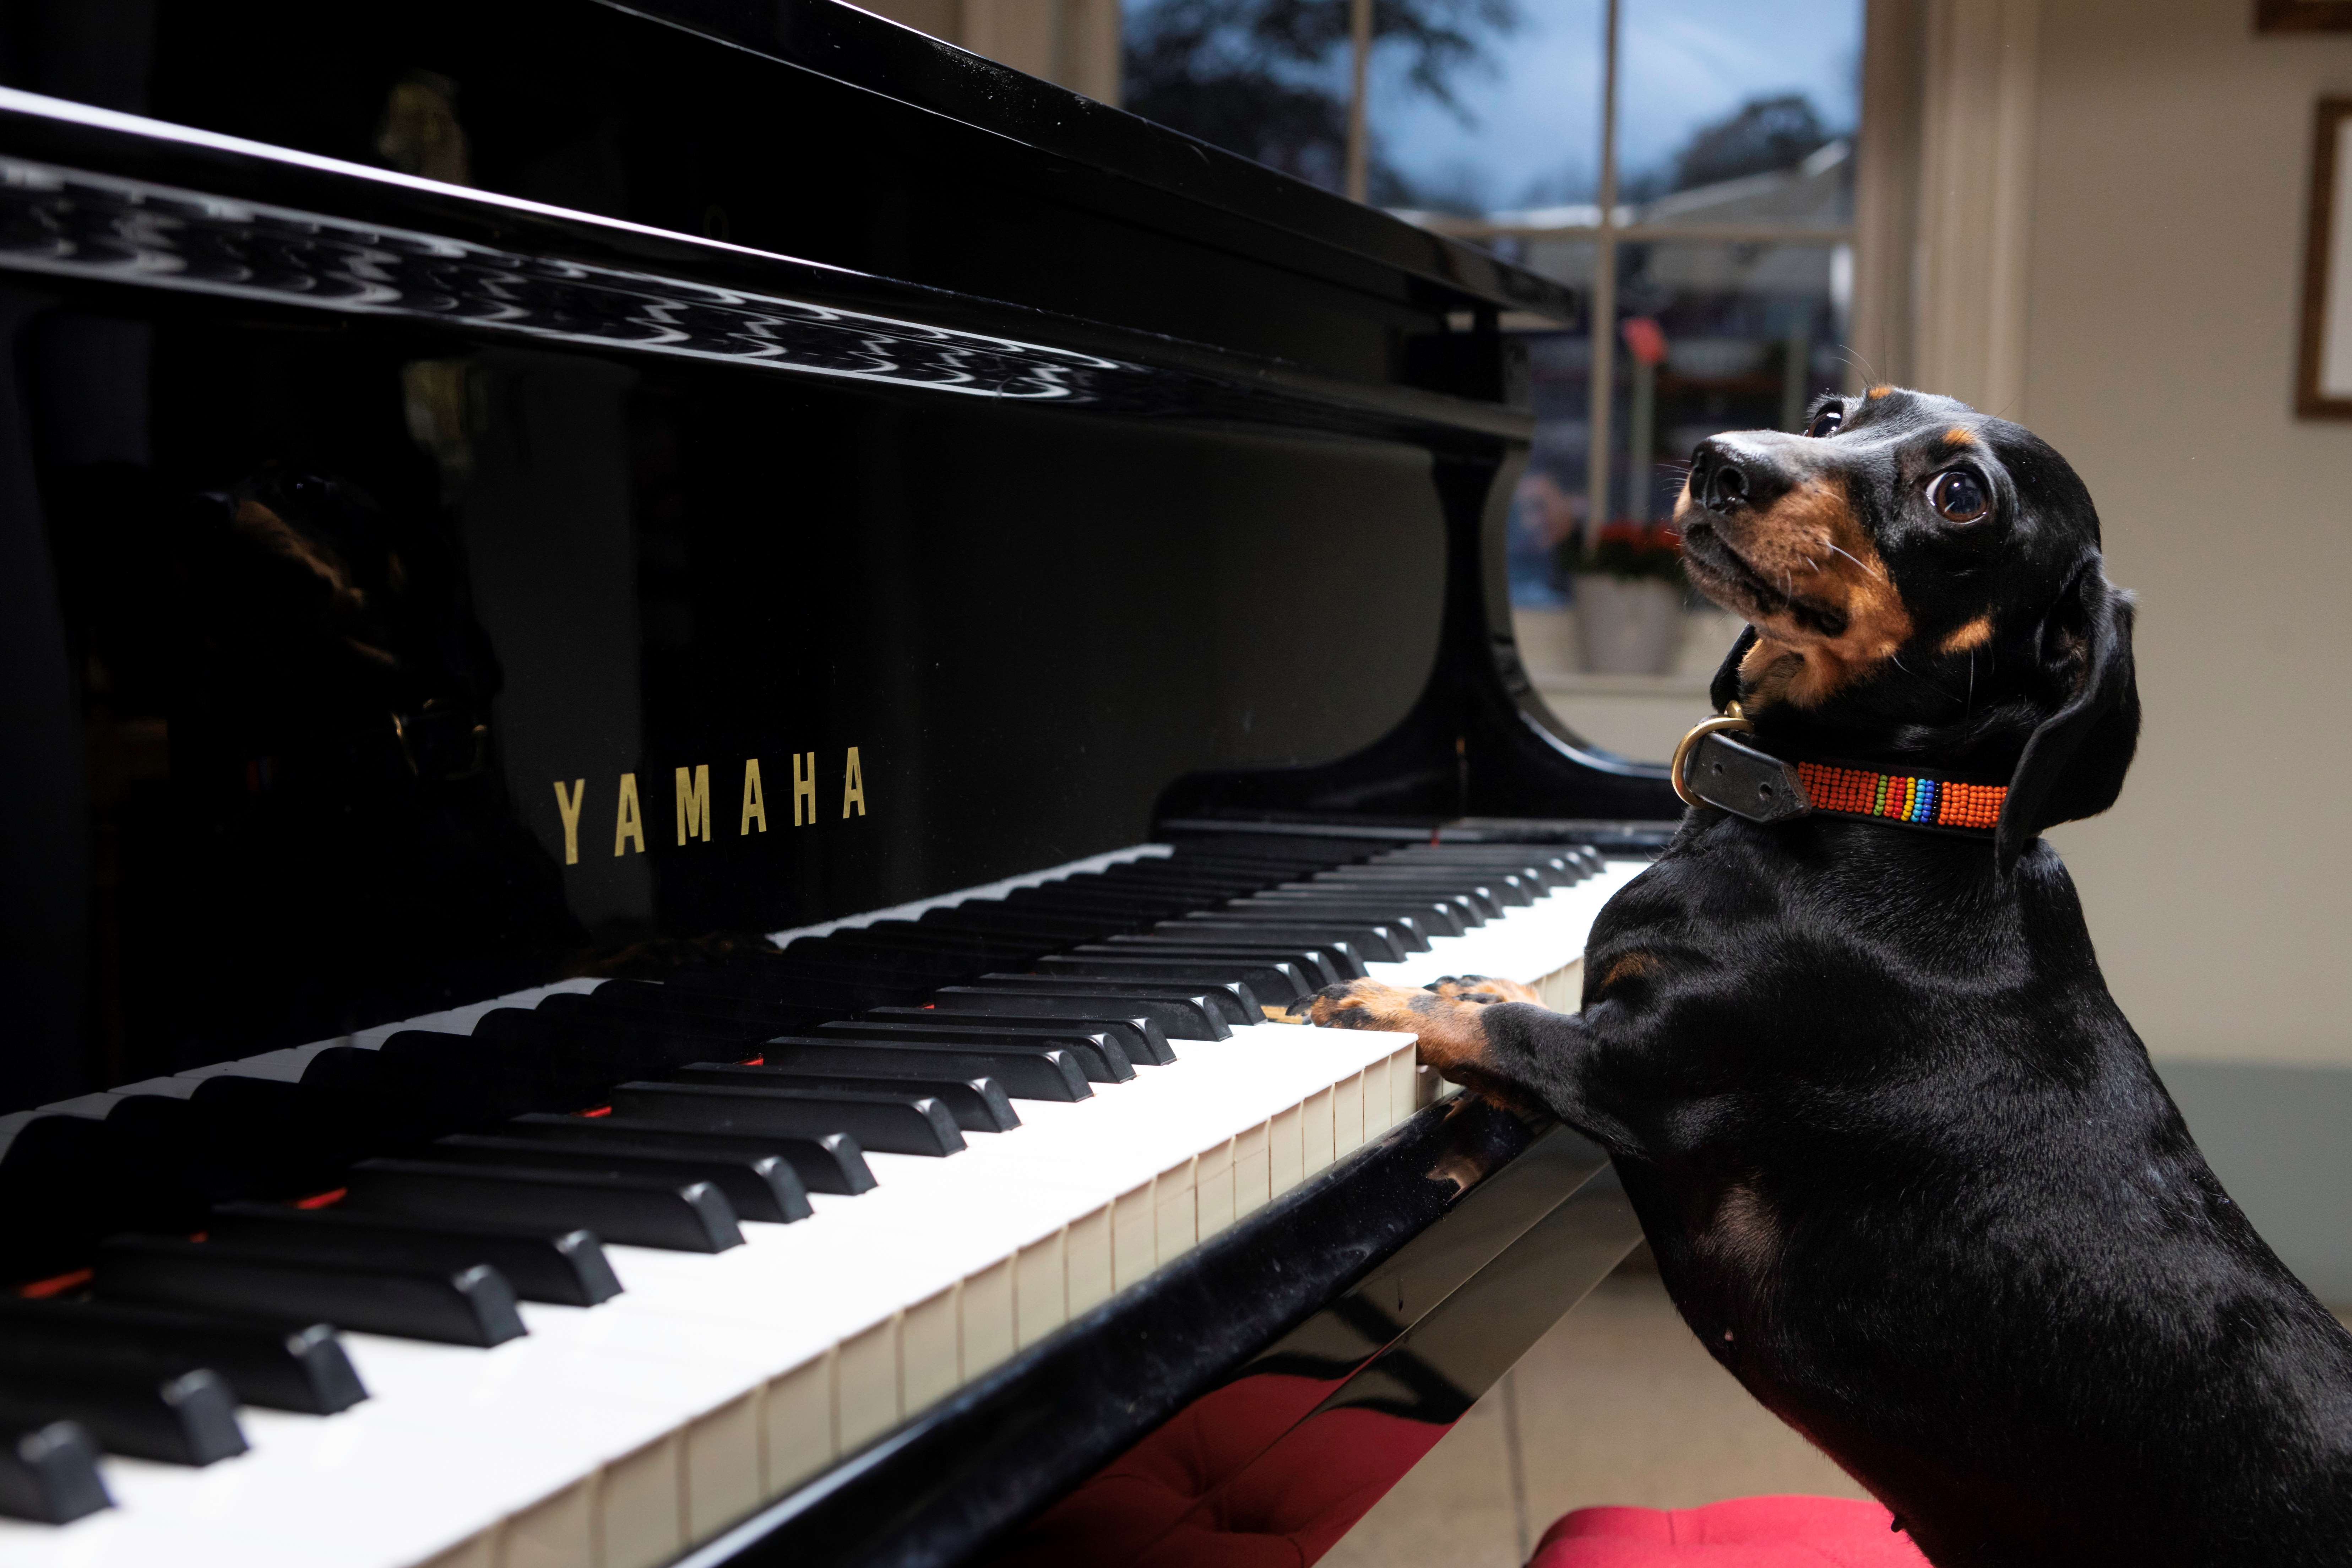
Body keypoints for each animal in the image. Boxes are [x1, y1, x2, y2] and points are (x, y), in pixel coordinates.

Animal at [1309, 387, 2352, 1566]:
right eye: (1832, 413)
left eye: (1960, 494)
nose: (1717, 461)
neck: (1878, 803)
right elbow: (1517, 1006)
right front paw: (1464, 984)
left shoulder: (1641, 1075)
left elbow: (1520, 1037)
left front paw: (1380, 998)